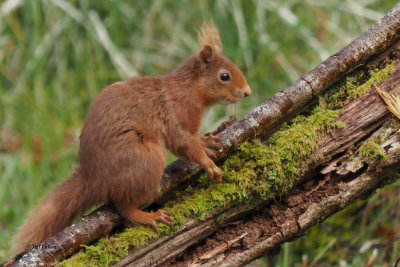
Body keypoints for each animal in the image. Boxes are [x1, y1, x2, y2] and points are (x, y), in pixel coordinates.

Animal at [14, 21, 252, 253]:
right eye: (224, 76)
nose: (247, 92)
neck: (189, 88)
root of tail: (94, 179)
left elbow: (194, 142)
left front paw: (207, 141)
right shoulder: (177, 117)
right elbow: (184, 145)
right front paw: (208, 164)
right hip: (147, 159)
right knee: (124, 207)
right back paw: (148, 216)